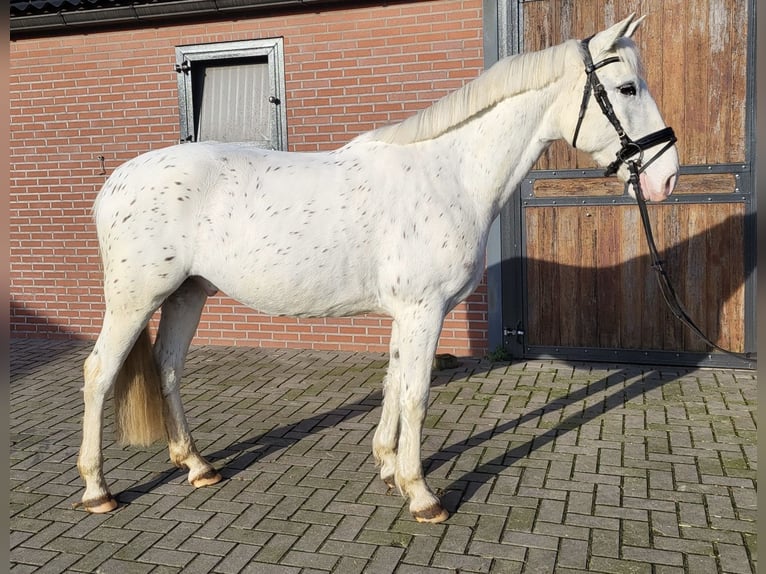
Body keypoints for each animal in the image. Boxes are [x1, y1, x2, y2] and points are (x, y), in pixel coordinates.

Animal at [78, 14, 680, 528]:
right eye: (627, 89)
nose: (667, 178)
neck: (448, 172)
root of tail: (116, 183)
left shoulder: (405, 313)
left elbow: (392, 382)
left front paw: (388, 466)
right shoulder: (423, 310)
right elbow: (415, 394)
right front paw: (421, 494)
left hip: (188, 294)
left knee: (168, 367)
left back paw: (198, 467)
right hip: (134, 300)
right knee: (99, 372)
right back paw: (98, 491)